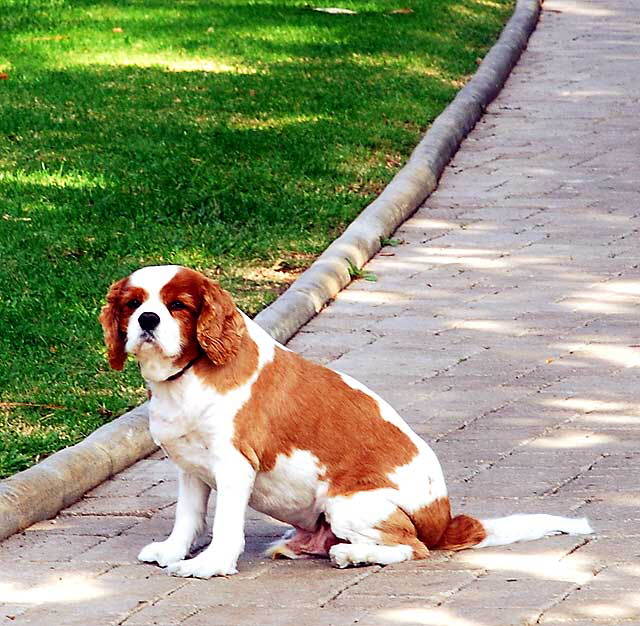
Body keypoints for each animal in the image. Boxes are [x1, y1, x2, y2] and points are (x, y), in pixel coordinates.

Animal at [100, 264, 596, 576]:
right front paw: (172, 551)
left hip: (349, 504)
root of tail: (445, 521)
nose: (147, 320)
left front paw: (209, 565)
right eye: (133, 304)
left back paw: (353, 556)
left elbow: (223, 524)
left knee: (411, 548)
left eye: (178, 306)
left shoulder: (234, 463)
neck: (186, 377)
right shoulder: (190, 465)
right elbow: (188, 516)